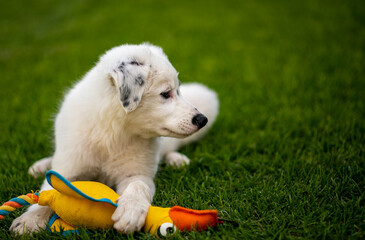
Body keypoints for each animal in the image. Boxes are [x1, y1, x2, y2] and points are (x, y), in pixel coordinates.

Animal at [10, 43, 216, 234]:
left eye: (179, 90)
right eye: (166, 94)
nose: (202, 120)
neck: (114, 131)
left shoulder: (137, 172)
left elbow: (138, 185)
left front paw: (130, 213)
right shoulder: (67, 168)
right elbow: (47, 193)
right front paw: (28, 221)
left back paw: (177, 160)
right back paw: (40, 166)